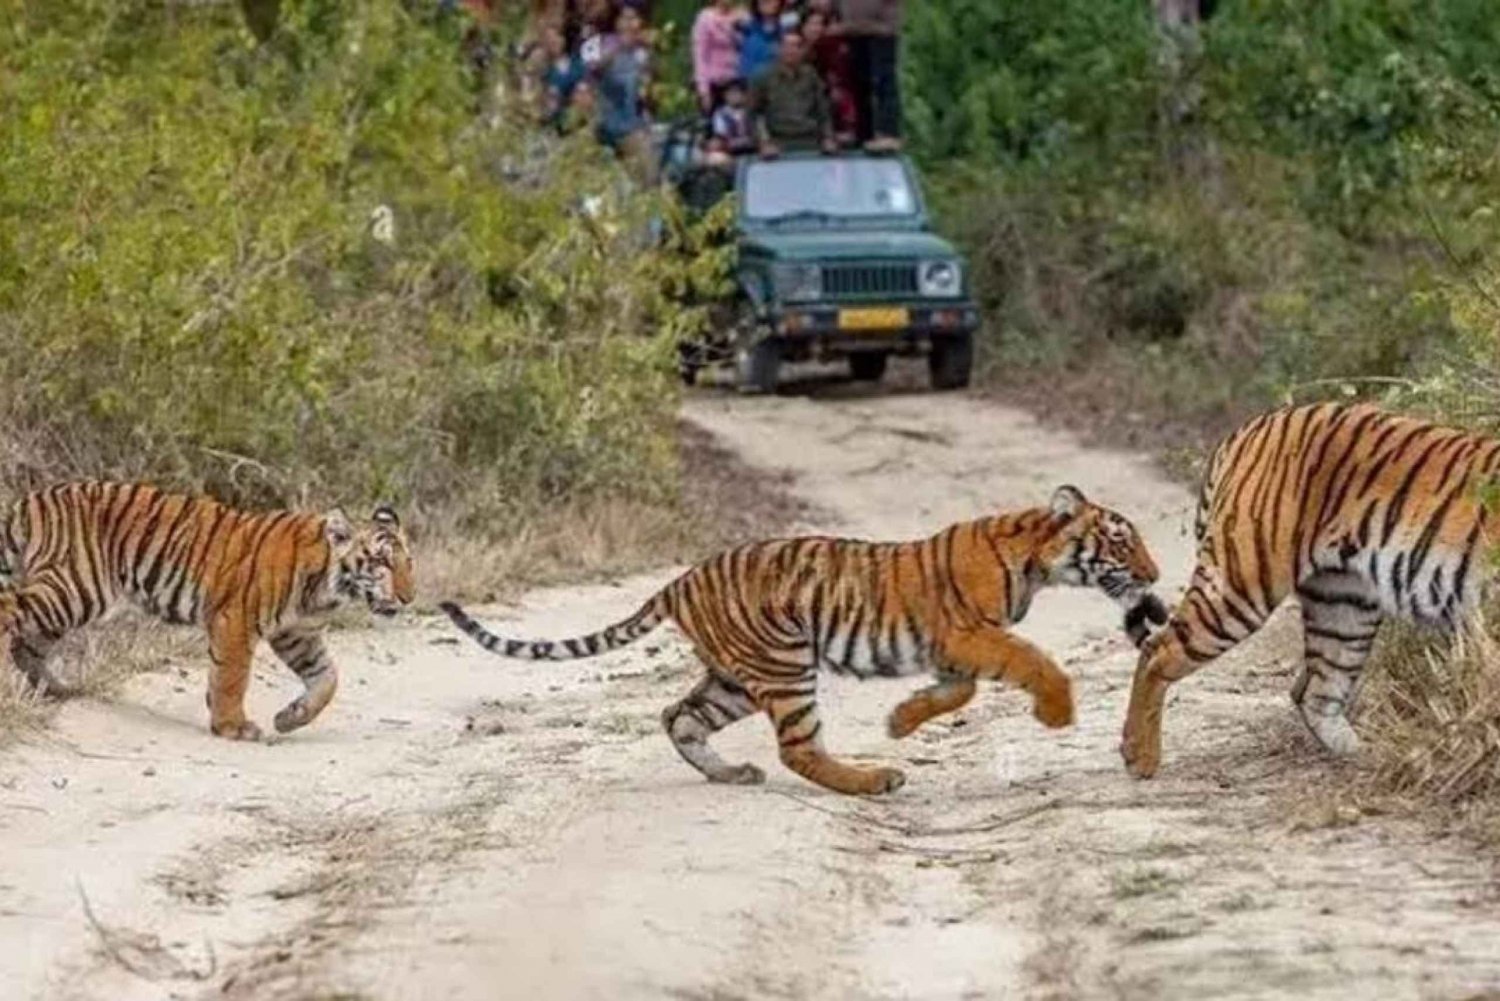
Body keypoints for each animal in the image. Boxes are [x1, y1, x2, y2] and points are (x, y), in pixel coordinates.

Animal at [0, 480, 414, 741]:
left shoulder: (296, 634)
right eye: (382, 562)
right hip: (74, 588)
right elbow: (232, 677)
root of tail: (32, 499)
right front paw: (233, 727)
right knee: (10, 613)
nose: (409, 597)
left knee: (28, 643)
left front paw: (290, 718)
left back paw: (56, 688)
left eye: (409, 563)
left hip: (67, 603)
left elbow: (327, 679)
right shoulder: (237, 621)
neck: (328, 586)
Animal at [438, 486, 1164, 798]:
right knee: (796, 748)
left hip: (735, 677)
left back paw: (731, 773)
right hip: (783, 663)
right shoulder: (970, 632)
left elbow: (953, 693)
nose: (1157, 576)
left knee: (677, 716)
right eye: (1122, 540)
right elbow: (1031, 659)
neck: (1036, 559)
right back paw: (873, 779)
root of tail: (679, 579)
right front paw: (1058, 710)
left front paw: (901, 720)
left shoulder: (953, 648)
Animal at [1122, 402, 1500, 780]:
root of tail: (1252, 426)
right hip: (1240, 585)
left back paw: (1370, 756)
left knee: (1314, 691)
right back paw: (1139, 757)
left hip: (1344, 603)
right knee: (1158, 650)